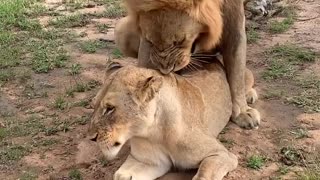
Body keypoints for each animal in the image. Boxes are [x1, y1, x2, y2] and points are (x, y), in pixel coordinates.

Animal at [89, 58, 258, 179]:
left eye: (110, 108)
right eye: (93, 105)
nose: (91, 138)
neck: (153, 133)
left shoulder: (222, 154)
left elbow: (204, 174)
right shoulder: (149, 162)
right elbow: (120, 175)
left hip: (241, 74)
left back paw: (250, 103)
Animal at [114, 0, 260, 129]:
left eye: (180, 40)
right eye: (151, 41)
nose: (166, 70)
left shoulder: (235, 24)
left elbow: (237, 74)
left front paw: (242, 112)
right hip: (120, 31)